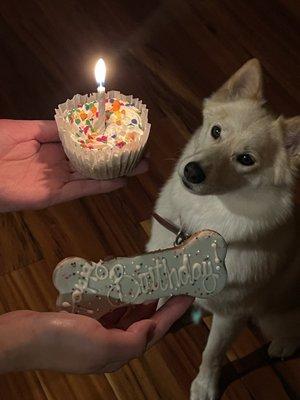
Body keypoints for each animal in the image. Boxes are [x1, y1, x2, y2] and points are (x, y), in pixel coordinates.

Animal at [146, 59, 298, 400]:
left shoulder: (231, 316)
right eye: (216, 131)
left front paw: (205, 385)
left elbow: (212, 354)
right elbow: (160, 302)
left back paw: (284, 344)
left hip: (270, 316)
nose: (192, 171)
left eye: (245, 159)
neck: (204, 220)